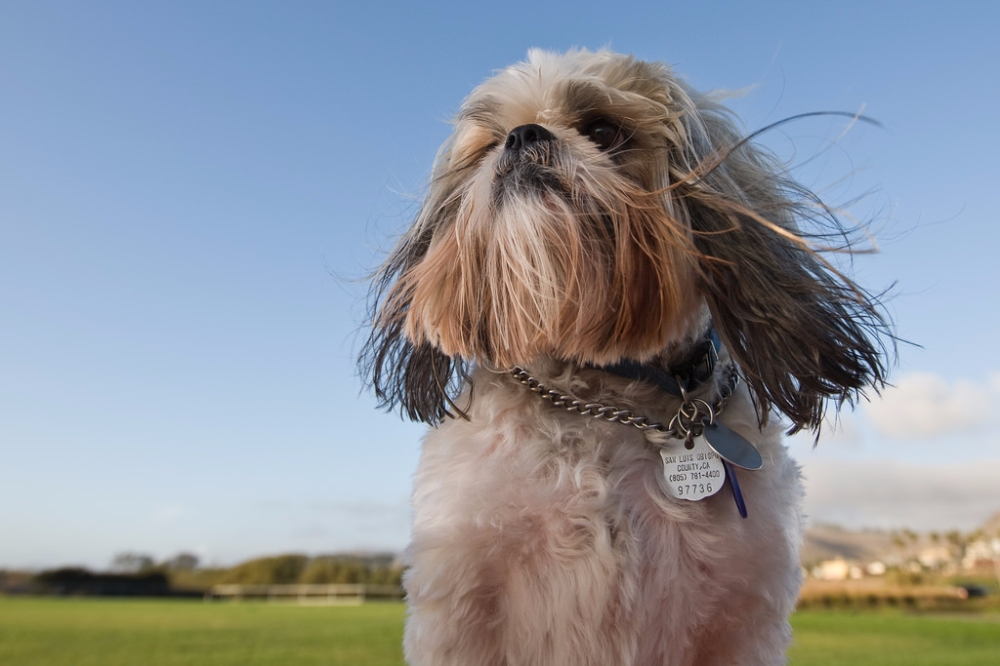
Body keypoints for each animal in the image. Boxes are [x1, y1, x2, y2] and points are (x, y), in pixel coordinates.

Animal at [362, 49, 892, 660]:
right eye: (489, 142)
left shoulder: (740, 625)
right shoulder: (463, 607)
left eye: (602, 130)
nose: (522, 136)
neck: (603, 388)